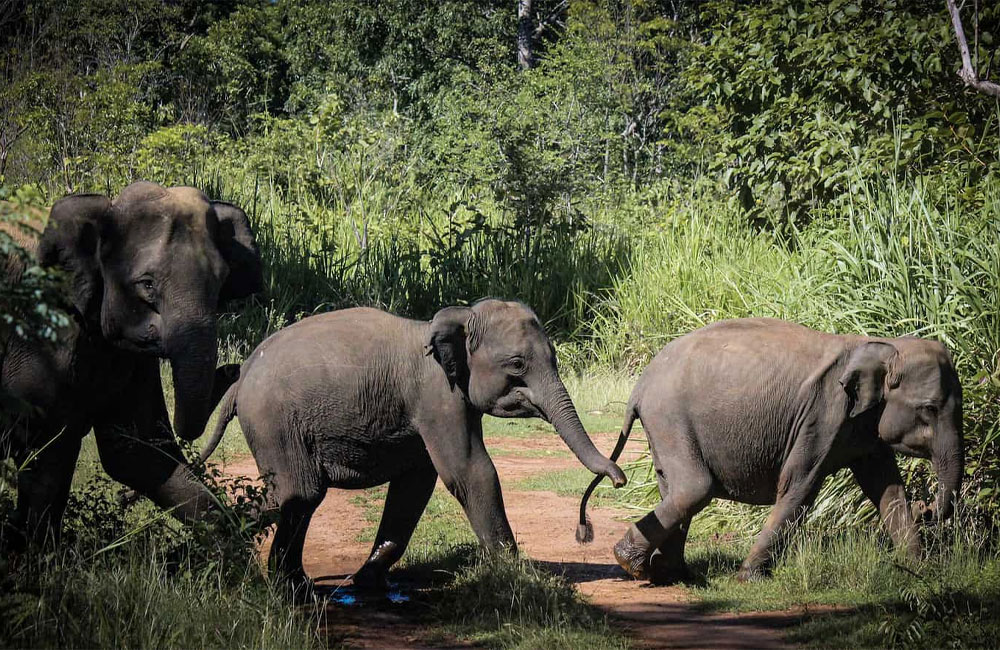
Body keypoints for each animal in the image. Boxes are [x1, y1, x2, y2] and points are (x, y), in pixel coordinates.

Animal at [1, 181, 262, 546]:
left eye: (221, 282)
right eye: (147, 284)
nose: (232, 368)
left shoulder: (131, 361)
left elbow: (136, 453)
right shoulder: (38, 332)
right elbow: (41, 446)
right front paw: (36, 553)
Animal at [196, 299, 627, 591]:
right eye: (517, 365)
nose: (619, 479)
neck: (459, 318)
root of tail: (240, 379)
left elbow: (415, 485)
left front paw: (367, 581)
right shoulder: (437, 396)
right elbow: (469, 472)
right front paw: (517, 577)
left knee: (291, 496)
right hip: (274, 423)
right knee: (298, 492)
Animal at [577, 318, 963, 583]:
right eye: (929, 409)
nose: (927, 509)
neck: (882, 346)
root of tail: (640, 385)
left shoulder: (864, 426)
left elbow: (885, 489)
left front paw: (919, 569)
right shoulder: (822, 415)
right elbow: (800, 487)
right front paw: (748, 578)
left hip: (665, 425)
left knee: (672, 486)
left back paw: (671, 574)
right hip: (669, 417)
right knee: (693, 487)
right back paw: (632, 563)